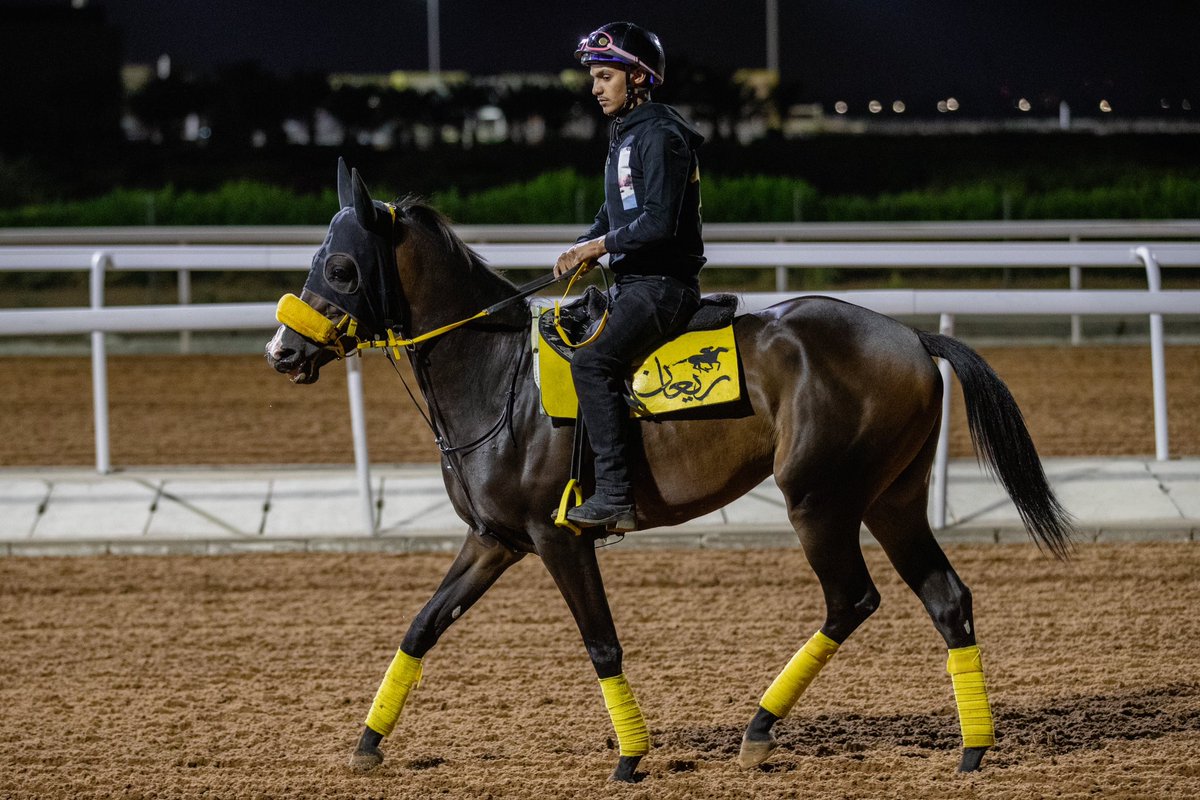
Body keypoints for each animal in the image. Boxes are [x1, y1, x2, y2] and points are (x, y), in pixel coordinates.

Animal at [265, 160, 1070, 782]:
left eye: (339, 266)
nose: (281, 352)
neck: (497, 376)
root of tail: (911, 336)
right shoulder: (493, 539)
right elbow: (422, 627)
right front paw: (367, 743)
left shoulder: (558, 537)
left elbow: (600, 642)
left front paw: (630, 756)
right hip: (891, 499)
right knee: (946, 598)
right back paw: (972, 748)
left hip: (818, 498)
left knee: (852, 600)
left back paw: (760, 729)